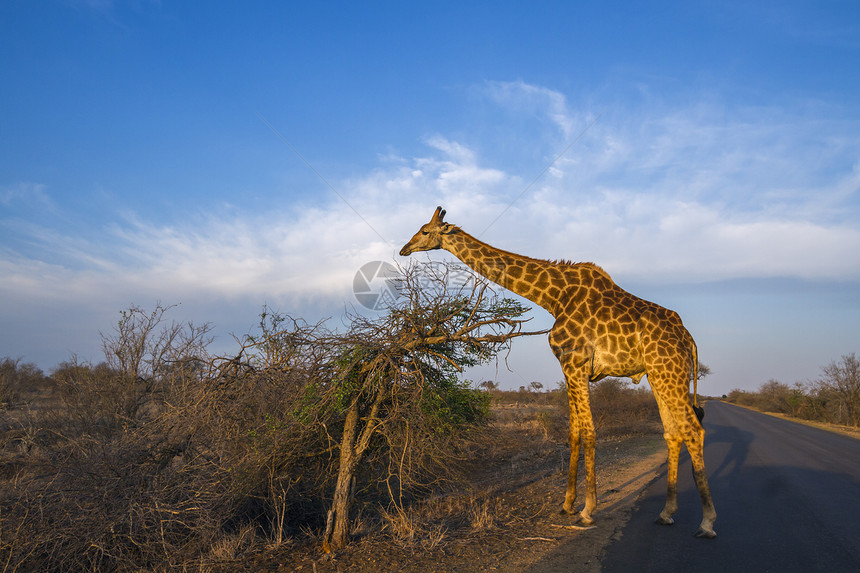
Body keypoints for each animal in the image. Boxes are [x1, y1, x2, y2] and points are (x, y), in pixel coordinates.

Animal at [400, 208, 716, 540]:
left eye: (424, 231)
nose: (404, 249)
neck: (554, 297)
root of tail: (688, 339)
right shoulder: (568, 367)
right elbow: (573, 432)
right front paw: (566, 505)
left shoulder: (575, 364)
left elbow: (588, 432)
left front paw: (588, 510)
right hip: (659, 375)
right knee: (674, 432)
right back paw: (666, 513)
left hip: (669, 371)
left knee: (693, 430)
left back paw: (707, 522)